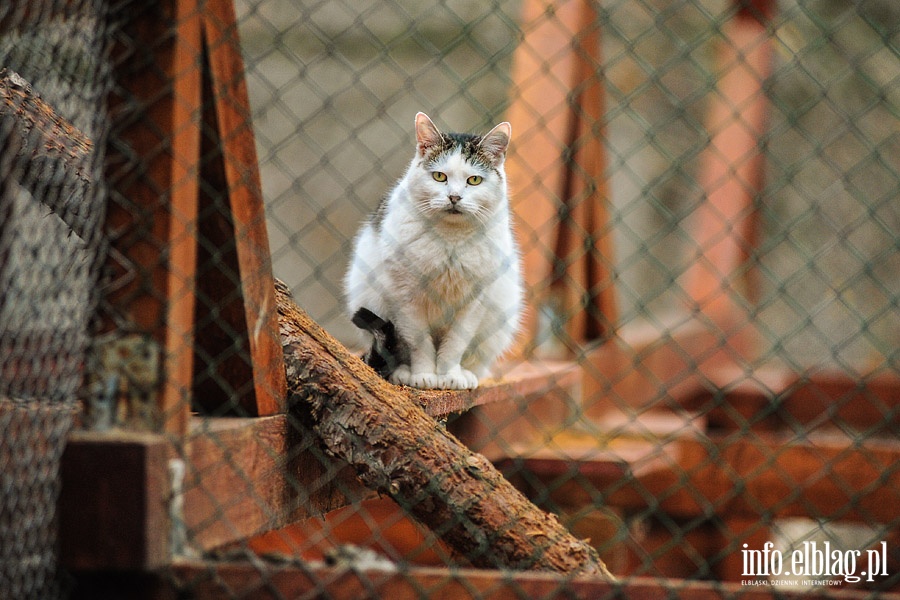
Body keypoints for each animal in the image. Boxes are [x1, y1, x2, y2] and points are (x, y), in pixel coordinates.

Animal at [346, 113, 528, 392]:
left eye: (474, 180)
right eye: (440, 176)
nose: (454, 197)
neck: (450, 240)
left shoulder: (475, 301)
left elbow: (455, 344)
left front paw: (449, 376)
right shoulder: (406, 297)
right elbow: (418, 342)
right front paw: (423, 375)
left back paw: (467, 374)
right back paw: (403, 373)